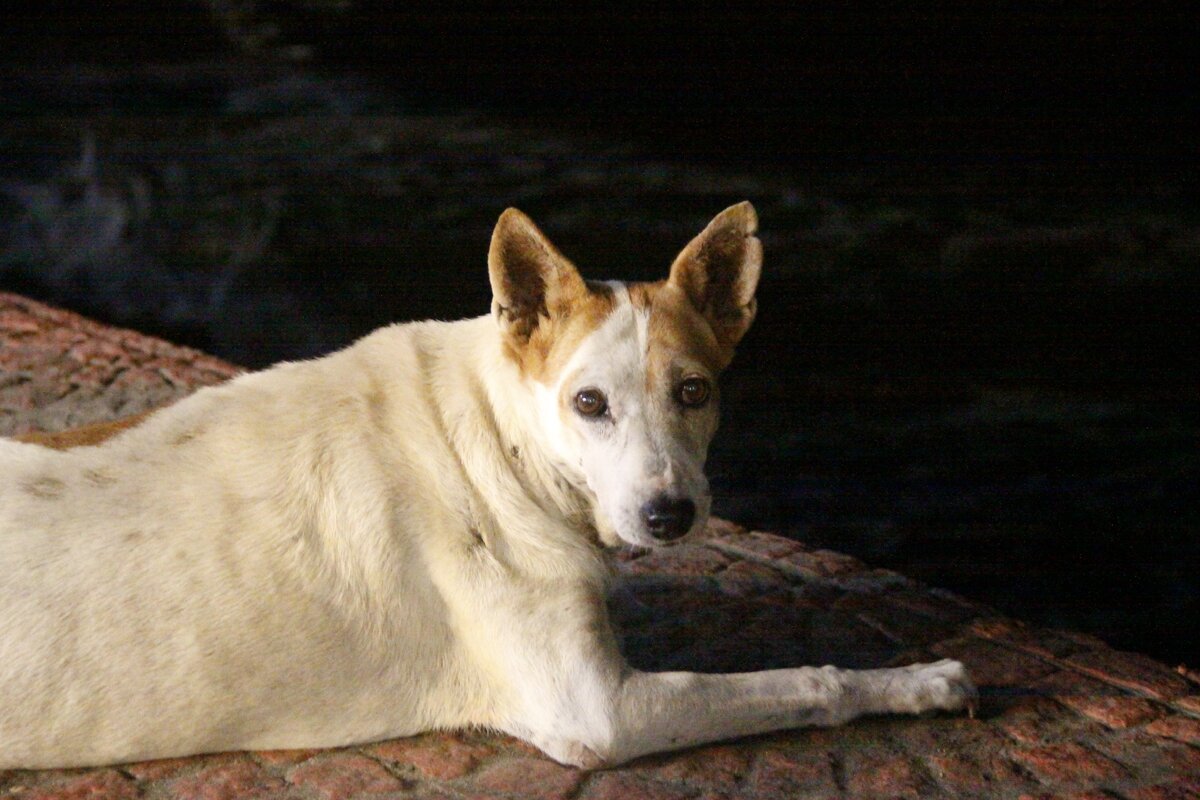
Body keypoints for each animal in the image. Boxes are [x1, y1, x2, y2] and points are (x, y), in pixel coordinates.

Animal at [2, 203, 974, 772]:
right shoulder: (600, 712)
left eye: (694, 392)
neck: (501, 444)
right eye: (589, 402)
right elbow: (806, 680)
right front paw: (918, 683)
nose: (669, 514)